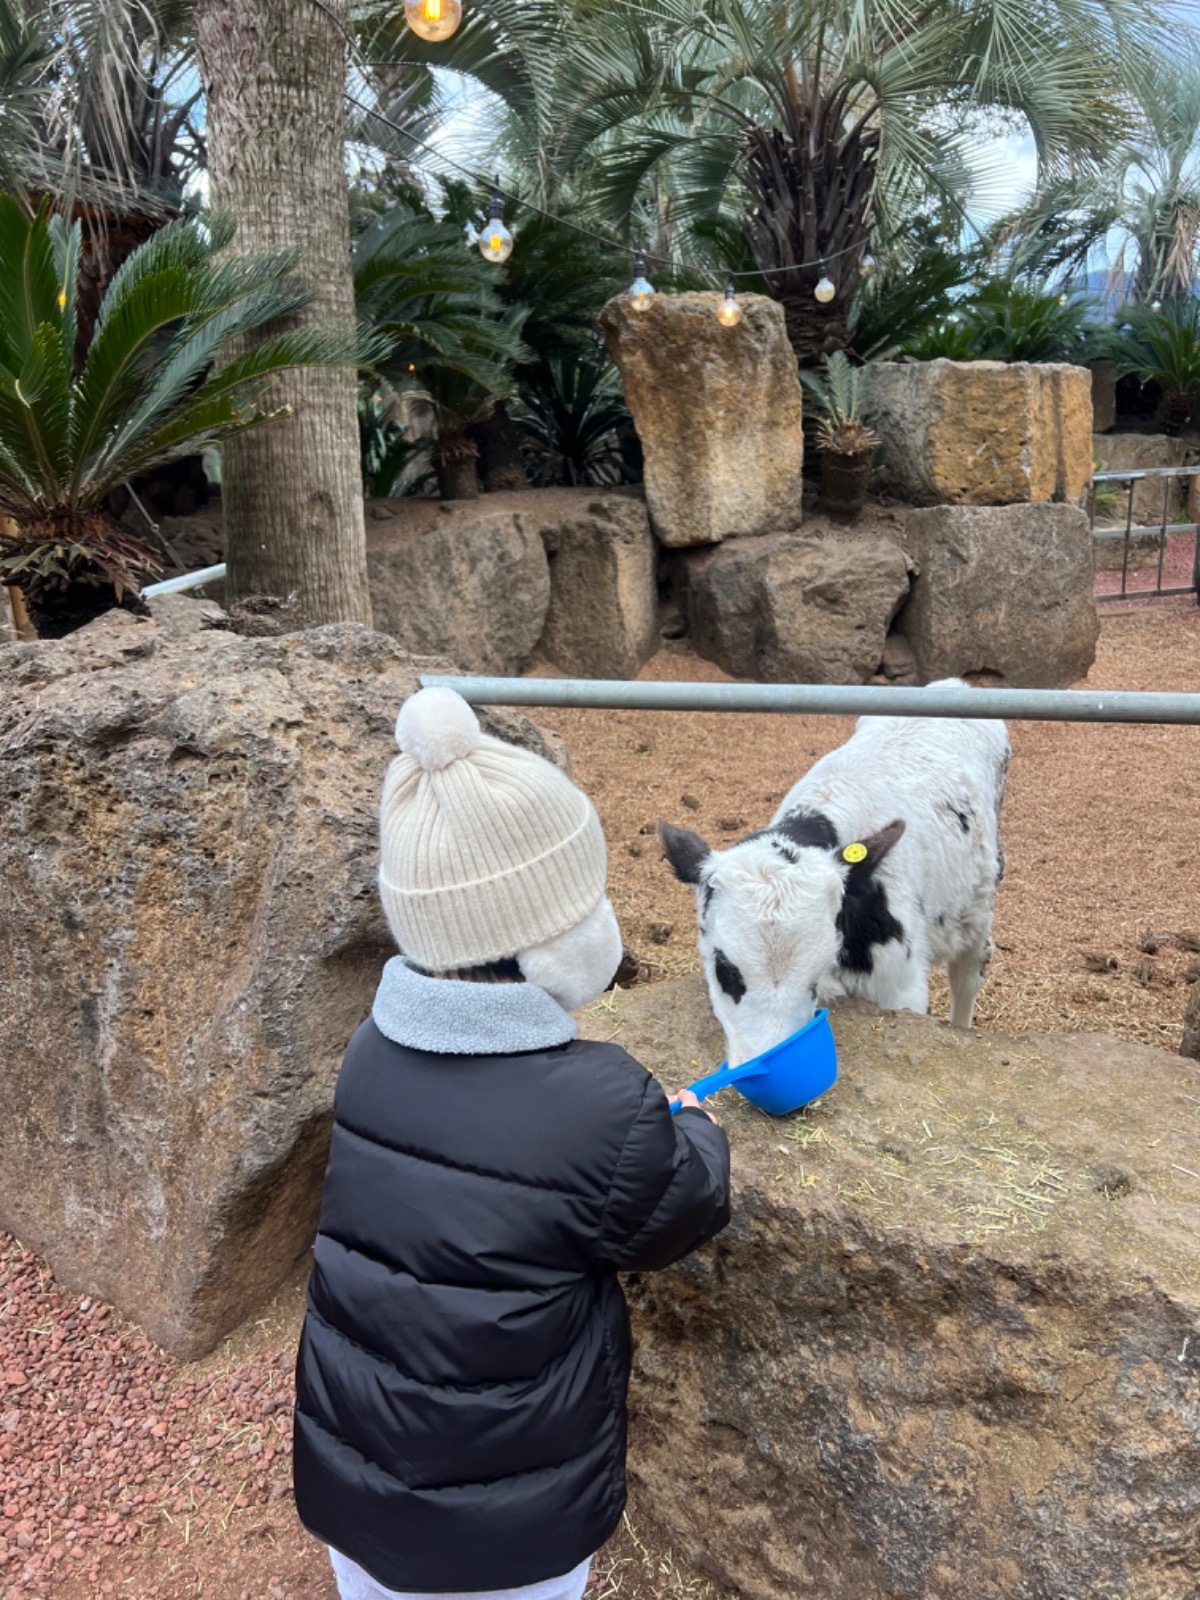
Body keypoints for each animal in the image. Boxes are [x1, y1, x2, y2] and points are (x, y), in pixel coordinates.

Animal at [662, 681, 1011, 1068]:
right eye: (724, 970)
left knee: (968, 971)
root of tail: (953, 685)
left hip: (979, 902)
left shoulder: (900, 987)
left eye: (814, 978)